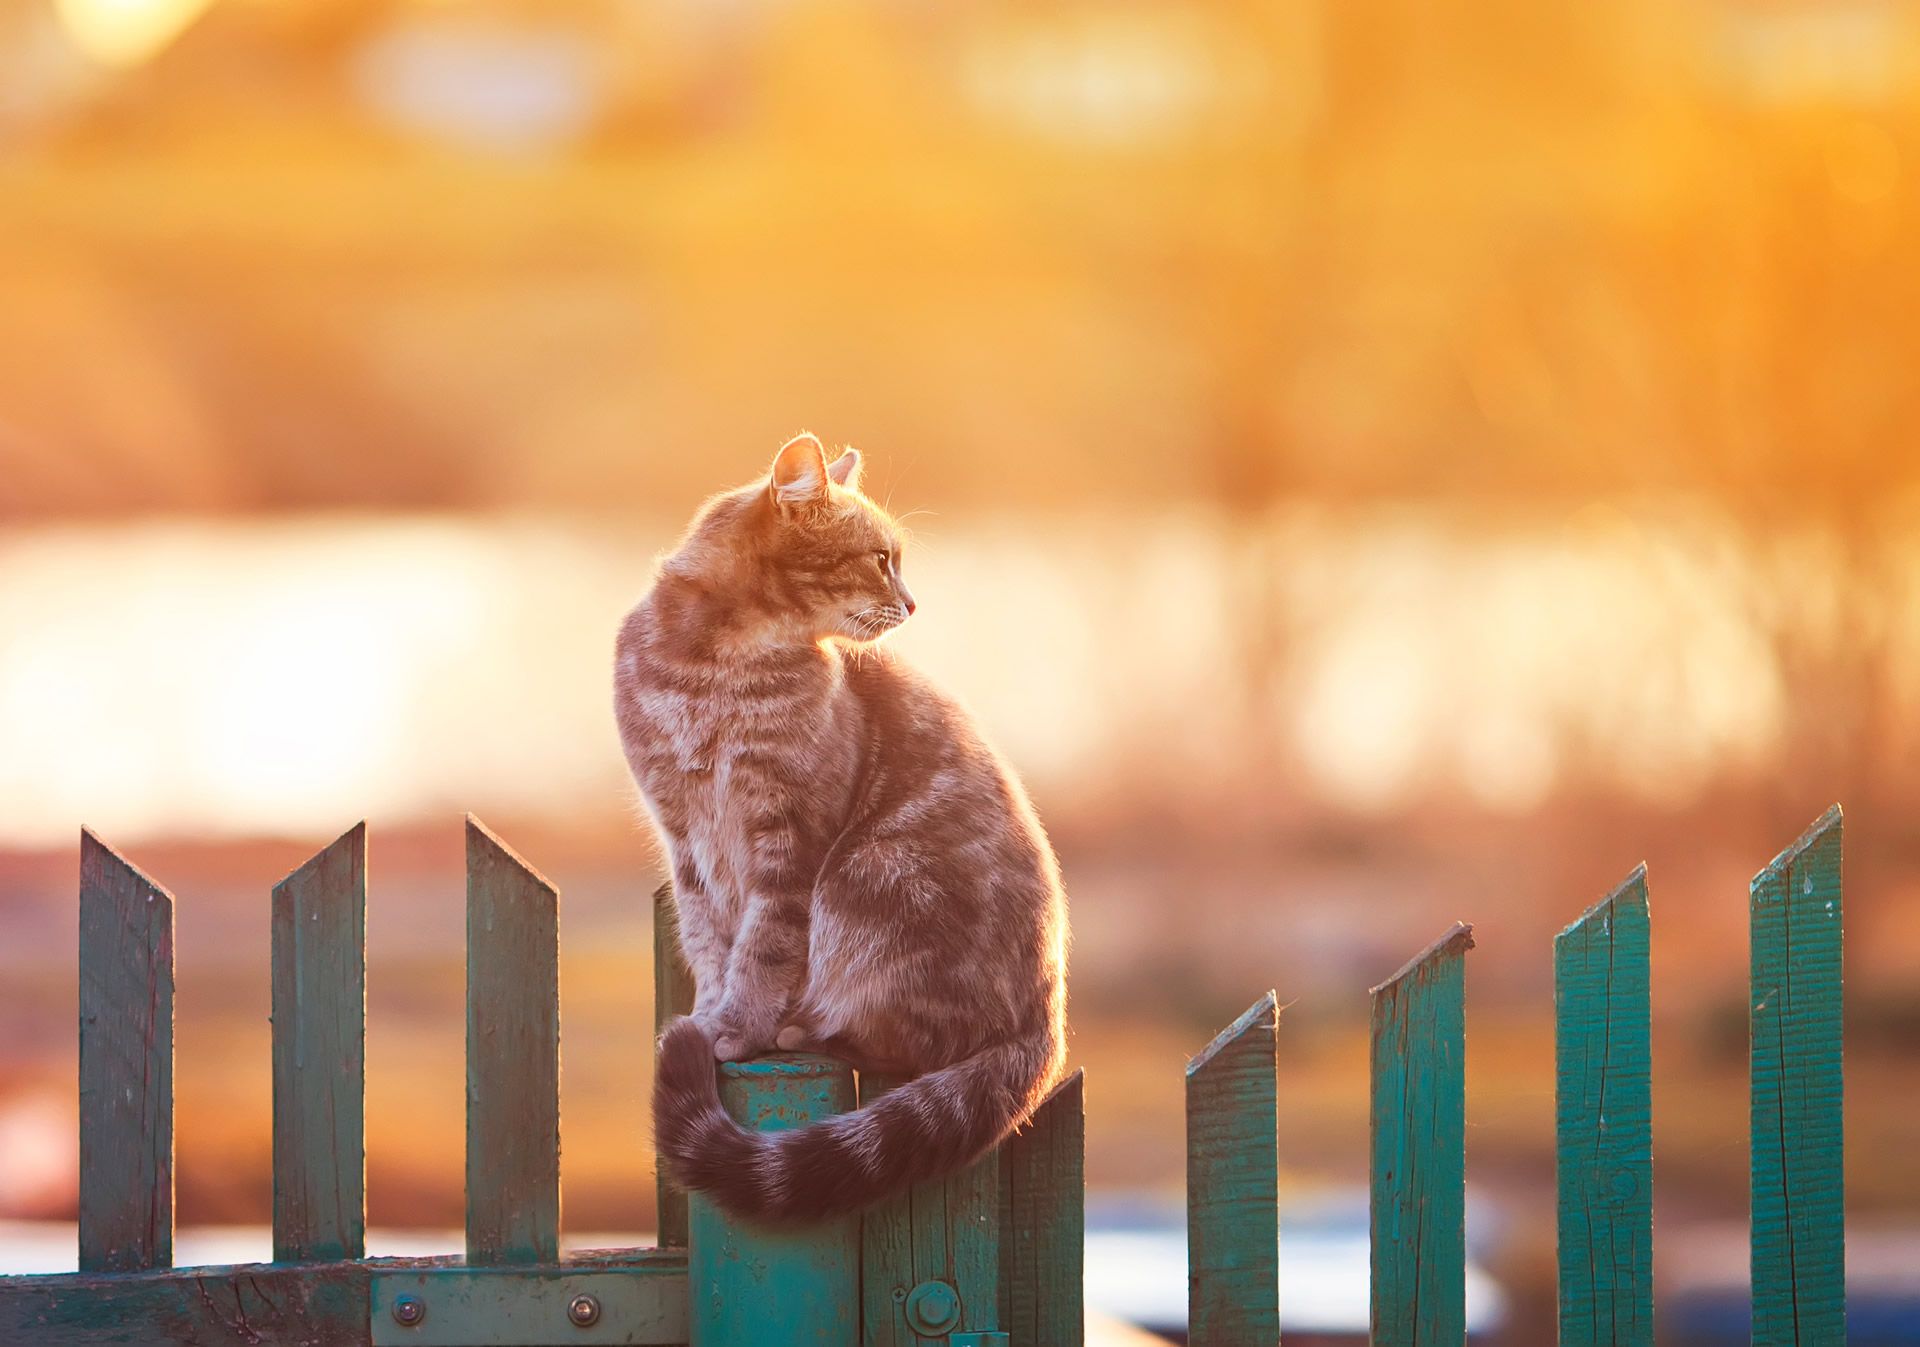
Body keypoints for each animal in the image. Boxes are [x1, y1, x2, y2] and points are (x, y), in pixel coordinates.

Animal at [610, 433, 1067, 1228]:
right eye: (881, 558)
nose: (912, 601)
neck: (716, 669)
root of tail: (1048, 1019)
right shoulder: (684, 836)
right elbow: (710, 942)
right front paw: (708, 1013)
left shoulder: (792, 839)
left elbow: (764, 946)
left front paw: (737, 1026)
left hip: (868, 874)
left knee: (921, 1041)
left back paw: (808, 1028)